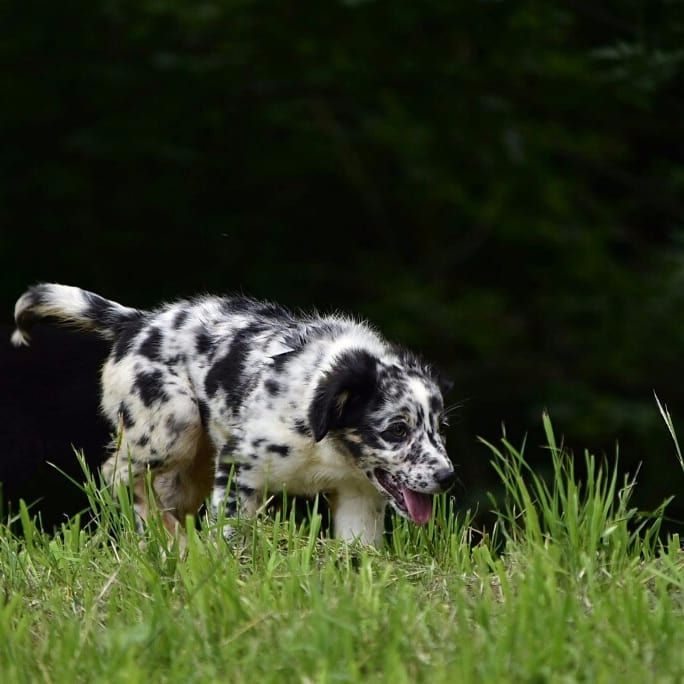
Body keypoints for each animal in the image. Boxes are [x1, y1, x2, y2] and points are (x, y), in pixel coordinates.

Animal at [12, 283, 455, 546]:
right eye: (397, 430)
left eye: (439, 428)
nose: (447, 478)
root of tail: (135, 322)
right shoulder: (239, 467)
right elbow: (231, 533)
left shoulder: (358, 495)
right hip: (173, 425)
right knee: (116, 473)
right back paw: (168, 537)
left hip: (191, 466)